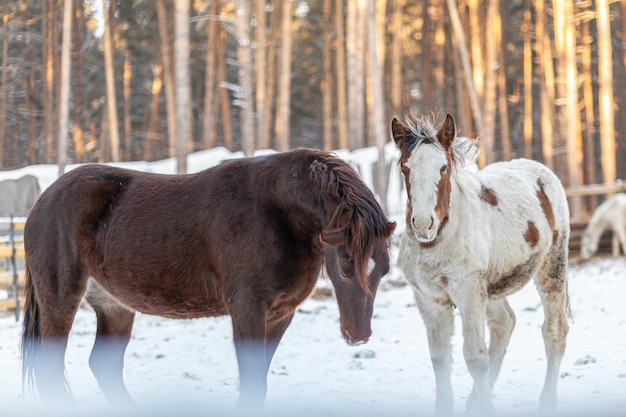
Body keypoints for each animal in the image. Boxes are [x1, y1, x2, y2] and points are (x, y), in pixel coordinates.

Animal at [20, 149, 394, 406]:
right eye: (344, 266)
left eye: (384, 269)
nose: (359, 335)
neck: (278, 214)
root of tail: (42, 201)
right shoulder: (248, 309)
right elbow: (252, 382)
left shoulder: (280, 315)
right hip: (60, 301)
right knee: (51, 368)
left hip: (115, 306)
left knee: (104, 366)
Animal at [392, 113, 568, 412]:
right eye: (405, 170)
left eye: (443, 167)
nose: (423, 224)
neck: (435, 245)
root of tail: (541, 170)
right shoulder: (429, 298)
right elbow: (440, 359)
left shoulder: (468, 291)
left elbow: (475, 358)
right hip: (492, 286)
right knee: (504, 324)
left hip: (552, 267)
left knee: (554, 332)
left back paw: (548, 401)